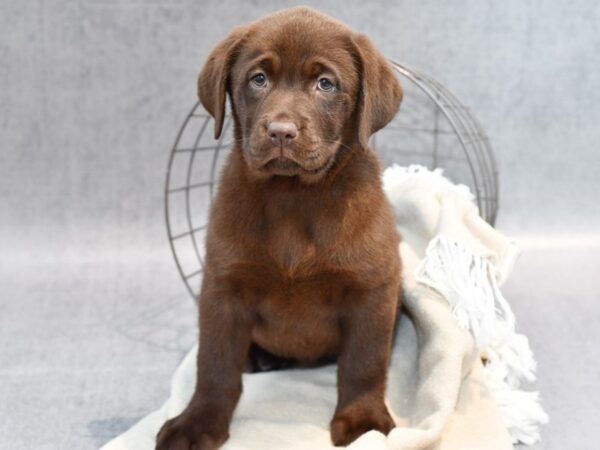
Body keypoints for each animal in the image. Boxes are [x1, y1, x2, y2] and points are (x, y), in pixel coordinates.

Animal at [159, 7, 404, 450]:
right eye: (259, 79)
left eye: (325, 83)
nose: (281, 132)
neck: (293, 196)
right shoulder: (224, 286)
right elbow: (214, 364)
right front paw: (197, 422)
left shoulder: (372, 287)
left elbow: (364, 362)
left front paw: (363, 420)